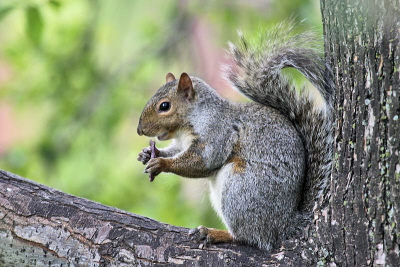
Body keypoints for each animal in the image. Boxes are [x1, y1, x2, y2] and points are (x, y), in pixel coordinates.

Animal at [136, 24, 332, 252]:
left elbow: (202, 161)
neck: (191, 121)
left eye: (164, 106)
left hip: (241, 189)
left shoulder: (217, 132)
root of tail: (285, 223)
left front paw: (161, 163)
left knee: (250, 237)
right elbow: (176, 151)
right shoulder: (182, 142)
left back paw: (215, 233)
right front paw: (149, 153)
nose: (140, 130)